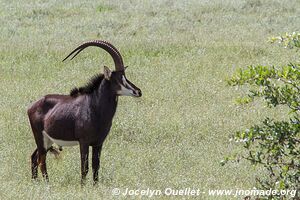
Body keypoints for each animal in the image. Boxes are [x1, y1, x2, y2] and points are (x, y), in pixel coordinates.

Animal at [27, 39, 142, 184]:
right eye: (118, 79)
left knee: (34, 157)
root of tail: (31, 106)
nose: (138, 91)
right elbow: (84, 168)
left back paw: (35, 182)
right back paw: (47, 184)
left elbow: (95, 167)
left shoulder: (98, 143)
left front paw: (95, 186)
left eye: (125, 76)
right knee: (41, 160)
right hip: (40, 138)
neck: (95, 108)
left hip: (47, 140)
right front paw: (82, 186)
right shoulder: (84, 142)